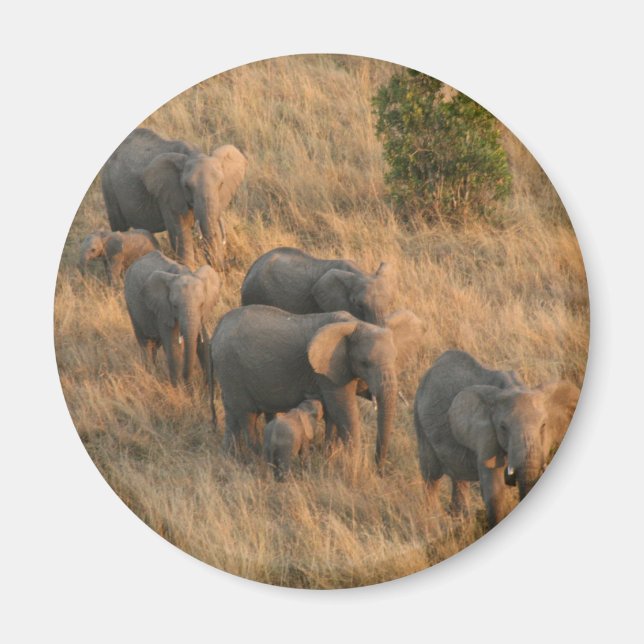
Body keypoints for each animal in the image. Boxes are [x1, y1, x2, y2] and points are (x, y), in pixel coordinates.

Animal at [101, 127, 247, 270]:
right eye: (187, 186)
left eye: (221, 184)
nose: (226, 266)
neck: (193, 154)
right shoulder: (168, 195)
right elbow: (181, 233)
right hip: (109, 187)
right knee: (119, 225)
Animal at [124, 250, 220, 386]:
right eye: (175, 306)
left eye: (201, 304)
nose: (187, 378)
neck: (182, 272)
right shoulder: (163, 310)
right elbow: (174, 347)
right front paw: (179, 388)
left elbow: (203, 343)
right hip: (132, 307)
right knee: (145, 343)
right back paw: (151, 375)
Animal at [210, 305, 422, 468]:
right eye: (364, 363)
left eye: (395, 359)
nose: (380, 468)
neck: (355, 323)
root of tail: (218, 327)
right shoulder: (327, 370)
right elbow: (343, 409)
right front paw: (354, 464)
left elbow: (332, 414)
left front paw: (329, 455)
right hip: (232, 370)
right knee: (247, 416)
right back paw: (256, 459)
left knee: (232, 415)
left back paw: (229, 458)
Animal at [413, 350, 580, 528]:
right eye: (503, 428)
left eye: (543, 426)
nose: (512, 478)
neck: (513, 386)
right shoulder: (486, 435)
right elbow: (495, 490)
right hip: (419, 423)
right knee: (431, 477)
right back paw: (434, 522)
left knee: (458, 478)